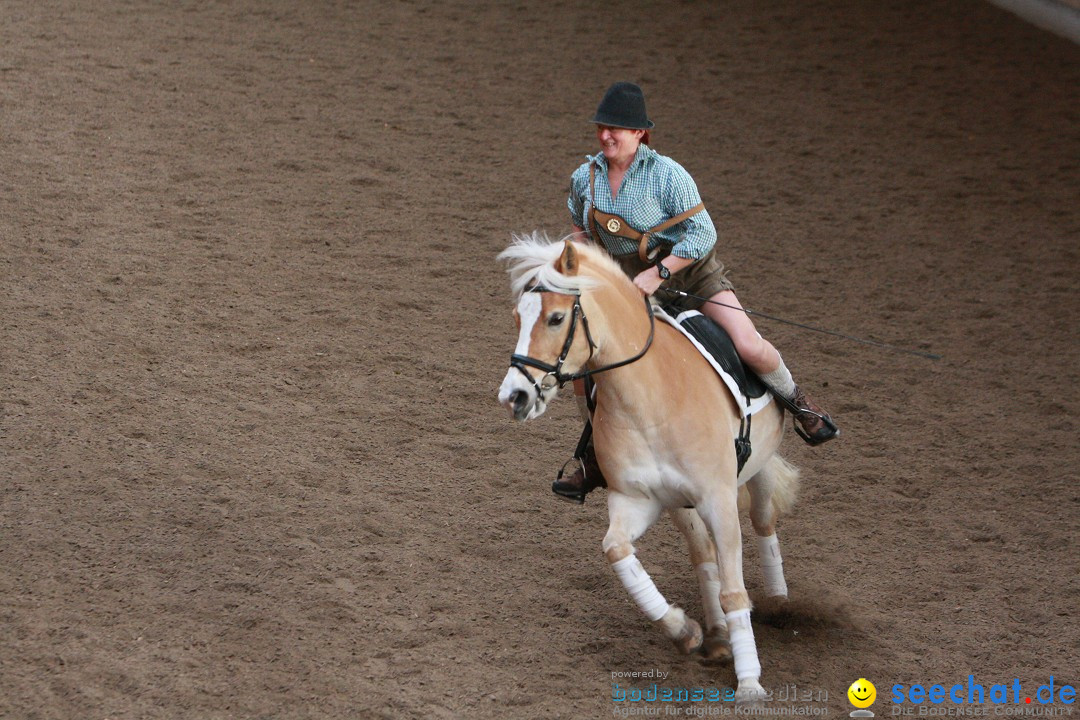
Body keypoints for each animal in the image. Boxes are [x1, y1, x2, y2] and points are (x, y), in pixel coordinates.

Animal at [496, 236, 803, 703]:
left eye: (555, 317)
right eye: (518, 317)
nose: (513, 396)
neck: (651, 402)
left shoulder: (718, 500)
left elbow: (735, 591)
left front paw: (750, 682)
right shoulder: (636, 500)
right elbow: (617, 551)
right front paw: (684, 630)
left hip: (759, 470)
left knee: (763, 523)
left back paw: (780, 606)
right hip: (681, 505)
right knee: (702, 553)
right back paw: (717, 636)